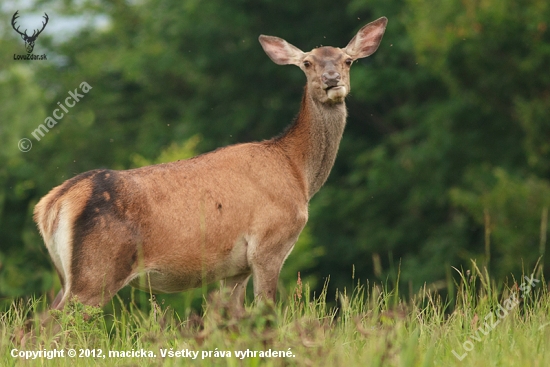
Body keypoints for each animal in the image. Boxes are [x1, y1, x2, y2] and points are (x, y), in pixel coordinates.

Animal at [33, 16, 388, 316]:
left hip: (66, 275)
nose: (332, 80)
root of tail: (53, 203)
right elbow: (266, 311)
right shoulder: (269, 244)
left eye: (347, 60)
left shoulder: (235, 269)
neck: (297, 171)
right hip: (98, 269)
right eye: (307, 62)